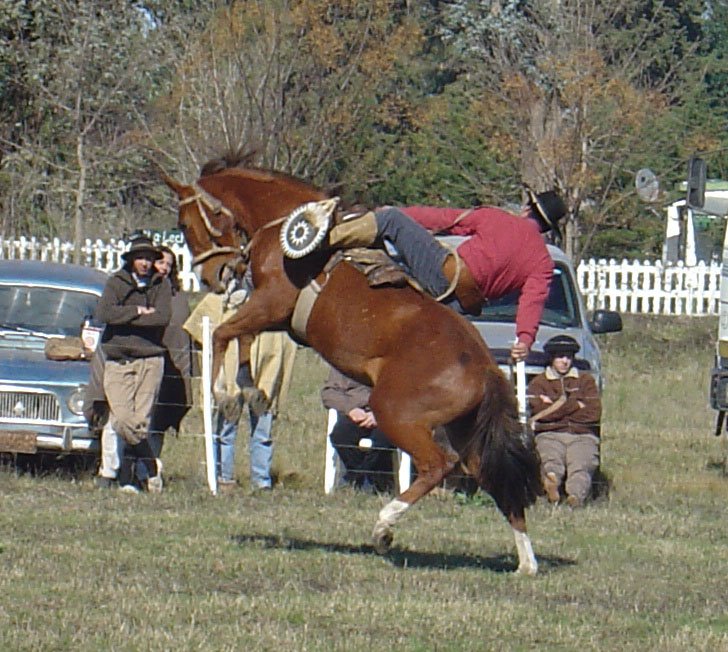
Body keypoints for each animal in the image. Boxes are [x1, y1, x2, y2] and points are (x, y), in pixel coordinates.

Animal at [162, 160, 544, 572]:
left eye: (184, 223)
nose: (211, 277)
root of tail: (486, 367)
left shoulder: (272, 301)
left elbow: (222, 333)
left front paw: (223, 392)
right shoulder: (270, 313)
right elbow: (242, 337)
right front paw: (250, 389)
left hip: (395, 413)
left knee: (438, 465)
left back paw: (384, 526)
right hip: (466, 430)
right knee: (496, 480)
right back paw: (526, 563)